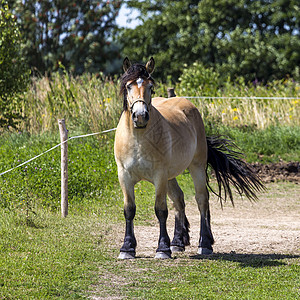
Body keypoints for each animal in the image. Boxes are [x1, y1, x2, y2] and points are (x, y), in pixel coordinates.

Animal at [113, 57, 264, 258]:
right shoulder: (124, 176)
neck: (138, 139)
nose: (140, 116)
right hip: (170, 177)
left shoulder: (160, 176)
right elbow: (129, 210)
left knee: (202, 200)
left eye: (151, 87)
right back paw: (177, 242)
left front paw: (162, 249)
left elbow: (160, 210)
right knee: (179, 199)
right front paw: (127, 248)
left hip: (196, 167)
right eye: (128, 86)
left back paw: (204, 244)